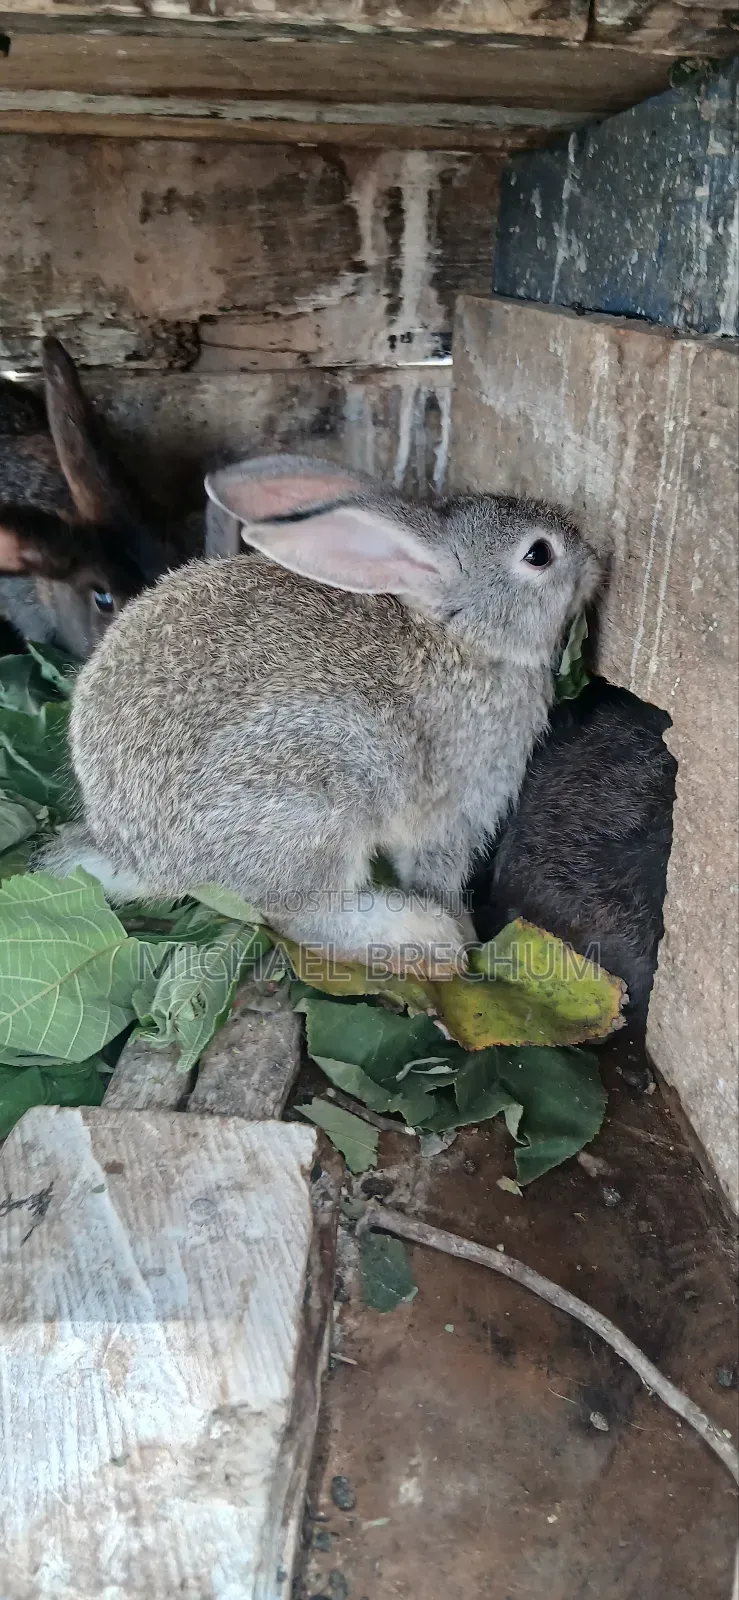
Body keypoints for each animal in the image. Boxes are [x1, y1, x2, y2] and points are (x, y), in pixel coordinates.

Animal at [39, 454, 602, 976]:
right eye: (539, 554)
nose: (596, 561)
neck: (465, 639)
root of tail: (137, 856)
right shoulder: (454, 812)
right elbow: (435, 874)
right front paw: (463, 927)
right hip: (319, 796)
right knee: (303, 917)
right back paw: (429, 940)